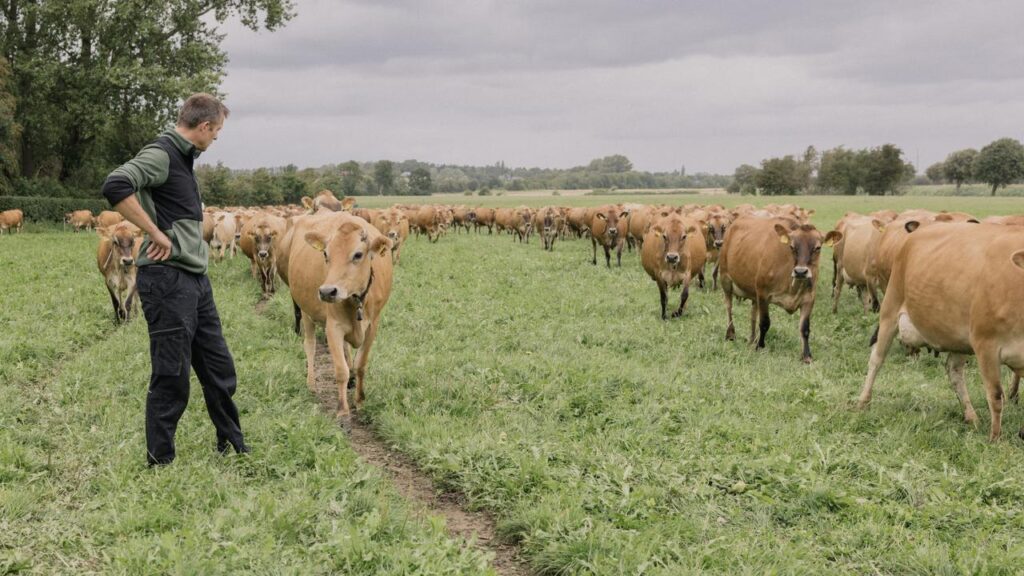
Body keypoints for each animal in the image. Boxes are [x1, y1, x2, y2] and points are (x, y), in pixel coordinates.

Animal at [720, 217, 839, 360]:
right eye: (792, 247)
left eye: (818, 247)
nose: (800, 272)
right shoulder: (763, 294)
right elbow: (764, 323)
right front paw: (760, 346)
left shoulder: (809, 298)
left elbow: (805, 328)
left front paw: (806, 356)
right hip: (725, 278)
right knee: (728, 306)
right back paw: (730, 334)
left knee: (753, 313)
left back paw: (752, 339)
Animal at [856, 222, 1024, 436]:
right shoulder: (986, 344)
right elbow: (995, 396)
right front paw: (995, 438)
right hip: (890, 307)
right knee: (876, 360)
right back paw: (863, 401)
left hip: (960, 339)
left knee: (954, 371)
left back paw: (971, 416)